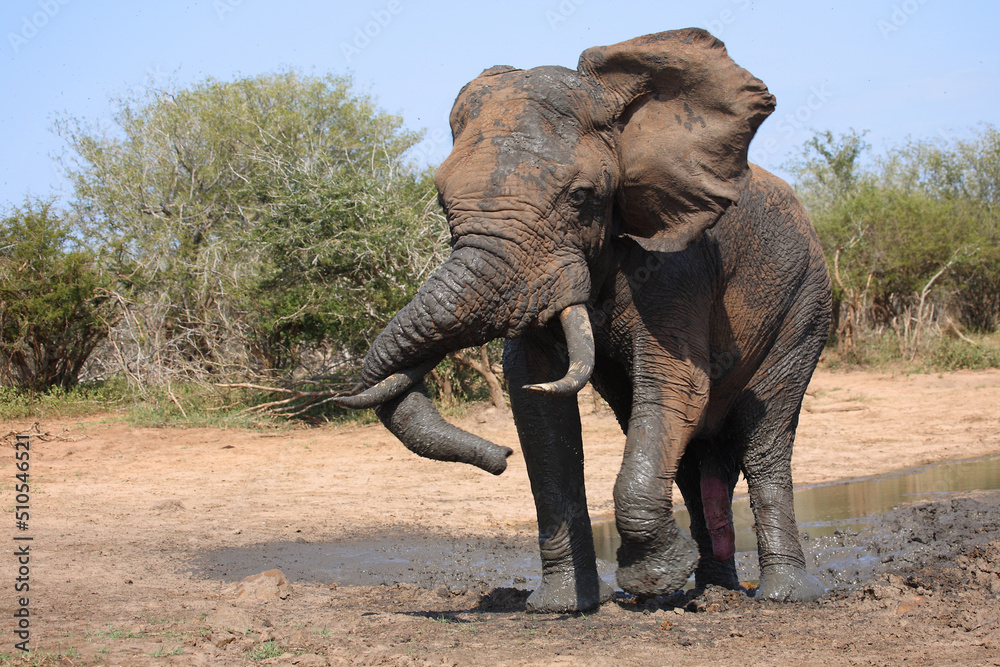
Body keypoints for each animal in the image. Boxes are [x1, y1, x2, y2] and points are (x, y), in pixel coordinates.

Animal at [336, 28, 832, 613]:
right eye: (440, 201)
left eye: (582, 197)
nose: (498, 459)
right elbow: (535, 398)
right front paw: (559, 606)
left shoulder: (679, 260)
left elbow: (676, 382)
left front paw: (651, 581)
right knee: (693, 460)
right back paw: (711, 590)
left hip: (805, 304)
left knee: (764, 438)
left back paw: (783, 595)